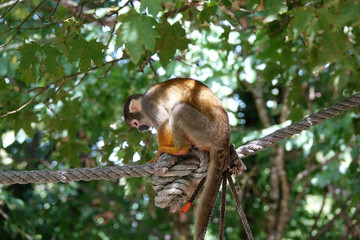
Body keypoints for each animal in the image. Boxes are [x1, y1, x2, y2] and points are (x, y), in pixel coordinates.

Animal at [124, 78, 231, 239]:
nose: (140, 129)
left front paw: (158, 154)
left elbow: (163, 123)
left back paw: (179, 149)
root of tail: (223, 140)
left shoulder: (149, 105)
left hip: (207, 131)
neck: (143, 100)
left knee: (178, 109)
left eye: (135, 124)